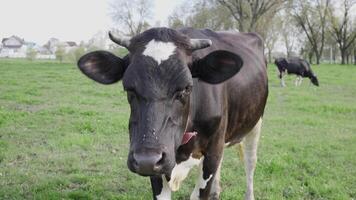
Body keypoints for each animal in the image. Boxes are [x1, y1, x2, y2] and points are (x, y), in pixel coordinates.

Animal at [77, 27, 268, 200]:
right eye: (129, 89)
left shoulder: (213, 149)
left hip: (255, 124)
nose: (146, 159)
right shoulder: (158, 164)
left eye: (186, 88)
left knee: (250, 162)